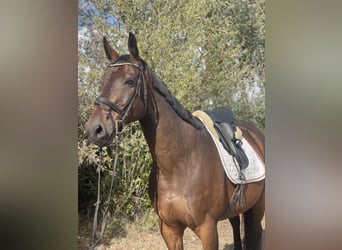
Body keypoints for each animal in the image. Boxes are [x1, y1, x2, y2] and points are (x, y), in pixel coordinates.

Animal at [85, 33, 264, 250]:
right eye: (102, 81)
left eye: (129, 81)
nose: (95, 129)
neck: (179, 164)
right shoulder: (170, 229)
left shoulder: (208, 229)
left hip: (259, 207)